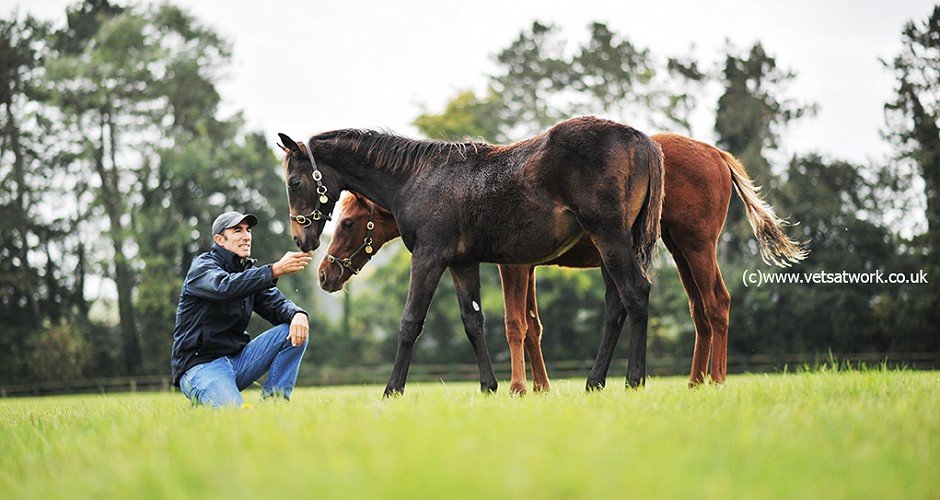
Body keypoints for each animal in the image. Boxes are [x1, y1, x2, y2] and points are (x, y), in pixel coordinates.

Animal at [276, 115, 664, 396]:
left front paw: (392, 390)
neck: (416, 178)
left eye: (348, 224)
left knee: (635, 293)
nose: (301, 241)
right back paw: (595, 381)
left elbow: (410, 321)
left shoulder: (429, 257)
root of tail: (640, 139)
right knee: (616, 305)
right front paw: (488, 386)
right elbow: (473, 322)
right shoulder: (463, 264)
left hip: (609, 238)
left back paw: (634, 380)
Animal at [320, 135, 804, 392]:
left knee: (711, 303)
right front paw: (537, 387)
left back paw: (709, 380)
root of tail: (716, 153)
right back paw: (689, 382)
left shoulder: (509, 265)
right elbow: (525, 324)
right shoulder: (520, 264)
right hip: (672, 250)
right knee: (693, 310)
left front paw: (519, 387)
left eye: (347, 223)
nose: (325, 274)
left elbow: (514, 323)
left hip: (691, 245)